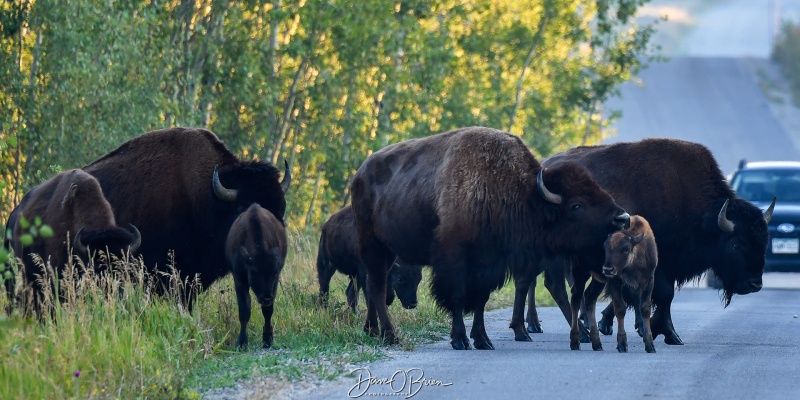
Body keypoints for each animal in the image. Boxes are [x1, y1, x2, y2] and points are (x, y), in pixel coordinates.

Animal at [225, 205, 288, 348]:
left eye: (274, 272)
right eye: (253, 273)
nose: (266, 298)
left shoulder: (275, 282)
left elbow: (268, 311)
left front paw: (268, 339)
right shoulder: (239, 278)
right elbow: (244, 310)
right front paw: (241, 343)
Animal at [350, 126, 632, 348]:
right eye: (576, 205)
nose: (623, 218)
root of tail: (359, 173)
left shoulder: (489, 264)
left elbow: (480, 300)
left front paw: (482, 340)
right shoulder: (456, 260)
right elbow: (458, 297)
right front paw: (460, 340)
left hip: (387, 251)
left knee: (375, 286)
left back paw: (372, 331)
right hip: (372, 245)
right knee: (376, 288)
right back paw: (390, 335)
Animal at [580, 216, 656, 354]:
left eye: (625, 249)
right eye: (605, 248)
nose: (607, 269)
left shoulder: (648, 281)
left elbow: (645, 308)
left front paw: (650, 345)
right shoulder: (615, 282)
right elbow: (620, 308)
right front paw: (622, 344)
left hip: (598, 281)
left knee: (590, 298)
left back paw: (596, 343)